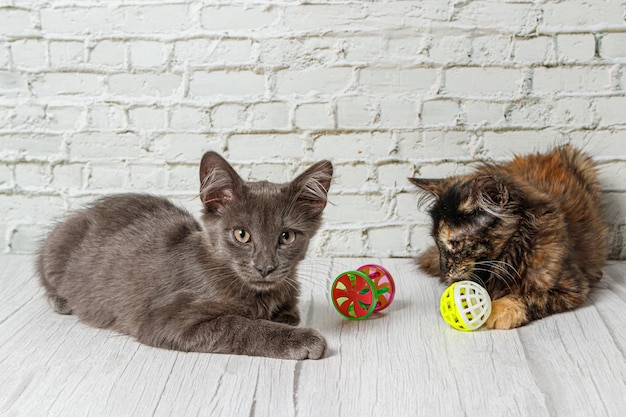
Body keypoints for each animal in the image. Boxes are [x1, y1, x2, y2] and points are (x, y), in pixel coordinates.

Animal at [36, 151, 332, 360]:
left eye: (286, 237)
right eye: (242, 235)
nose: (265, 267)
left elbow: (288, 312)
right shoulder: (166, 320)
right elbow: (240, 325)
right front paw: (299, 339)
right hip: (57, 249)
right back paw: (61, 300)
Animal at [410, 145, 604, 328]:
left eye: (456, 244)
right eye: (437, 243)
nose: (443, 269)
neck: (511, 254)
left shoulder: (571, 287)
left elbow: (529, 296)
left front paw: (499, 310)